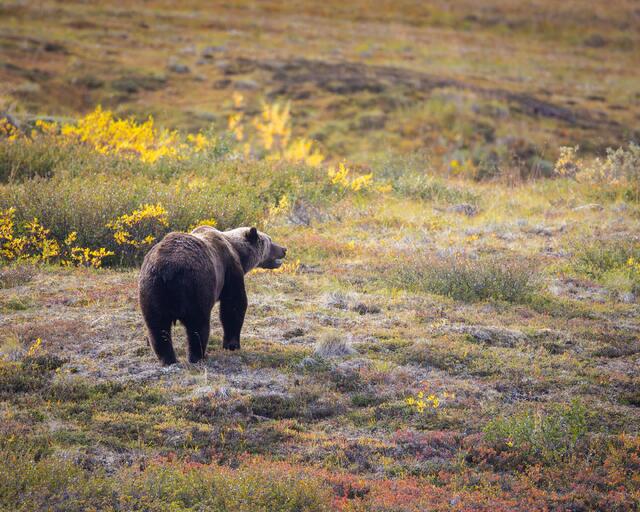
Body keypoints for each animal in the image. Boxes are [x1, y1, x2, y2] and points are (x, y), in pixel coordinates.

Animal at [139, 226, 286, 365]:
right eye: (269, 240)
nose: (284, 249)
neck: (238, 251)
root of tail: (167, 270)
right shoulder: (230, 269)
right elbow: (234, 305)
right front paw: (232, 345)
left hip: (152, 289)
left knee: (157, 327)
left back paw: (168, 359)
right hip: (196, 286)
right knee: (198, 324)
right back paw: (198, 355)